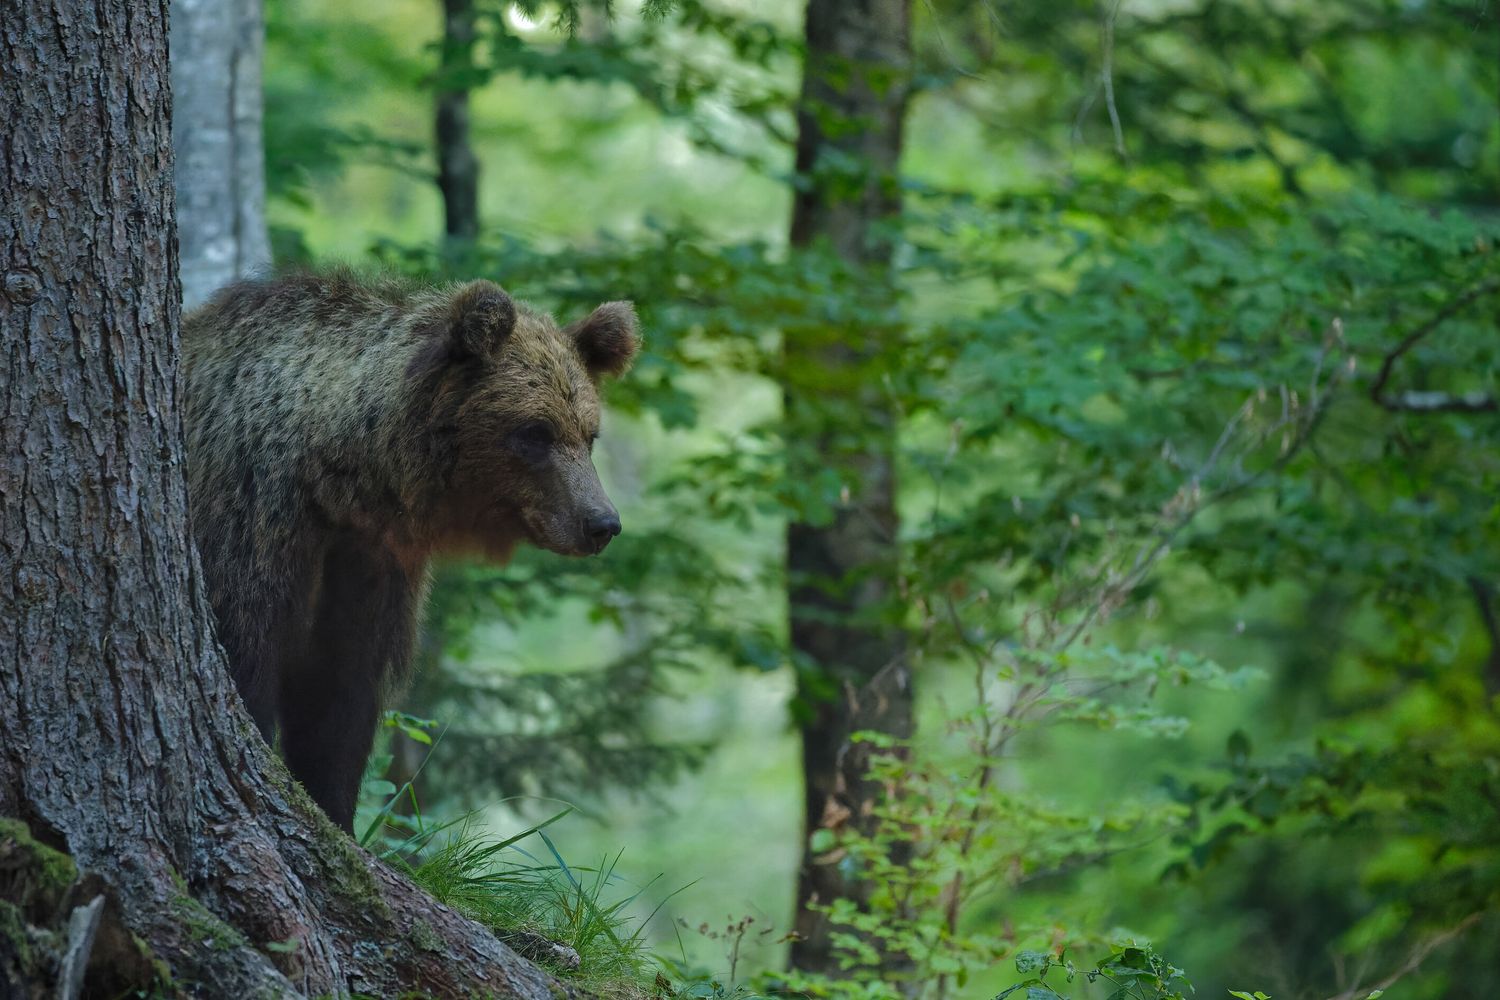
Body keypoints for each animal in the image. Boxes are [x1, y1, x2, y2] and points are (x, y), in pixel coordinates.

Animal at [181, 269, 638, 831]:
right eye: (535, 432)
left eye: (589, 435)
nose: (601, 523)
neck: (336, 475)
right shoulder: (252, 519)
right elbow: (248, 655)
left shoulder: (370, 559)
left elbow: (340, 695)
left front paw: (335, 813)